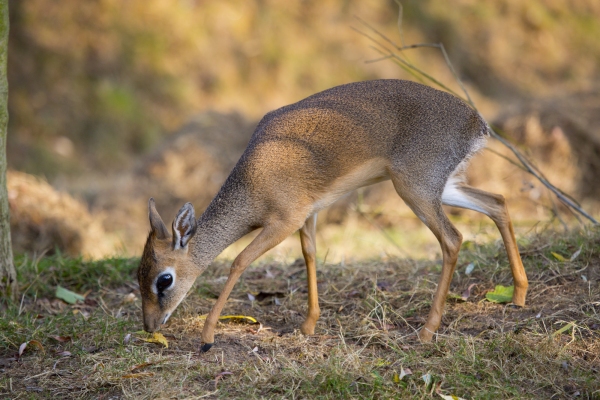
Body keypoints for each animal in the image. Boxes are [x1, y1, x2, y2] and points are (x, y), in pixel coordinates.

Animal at [138, 78, 528, 350]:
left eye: (164, 279)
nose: (150, 326)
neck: (254, 179)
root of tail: (477, 123)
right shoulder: (308, 215)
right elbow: (310, 254)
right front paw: (308, 325)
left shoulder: (283, 222)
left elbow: (239, 261)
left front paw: (207, 337)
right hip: (440, 188)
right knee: (498, 202)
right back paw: (518, 296)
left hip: (415, 190)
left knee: (453, 238)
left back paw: (427, 331)